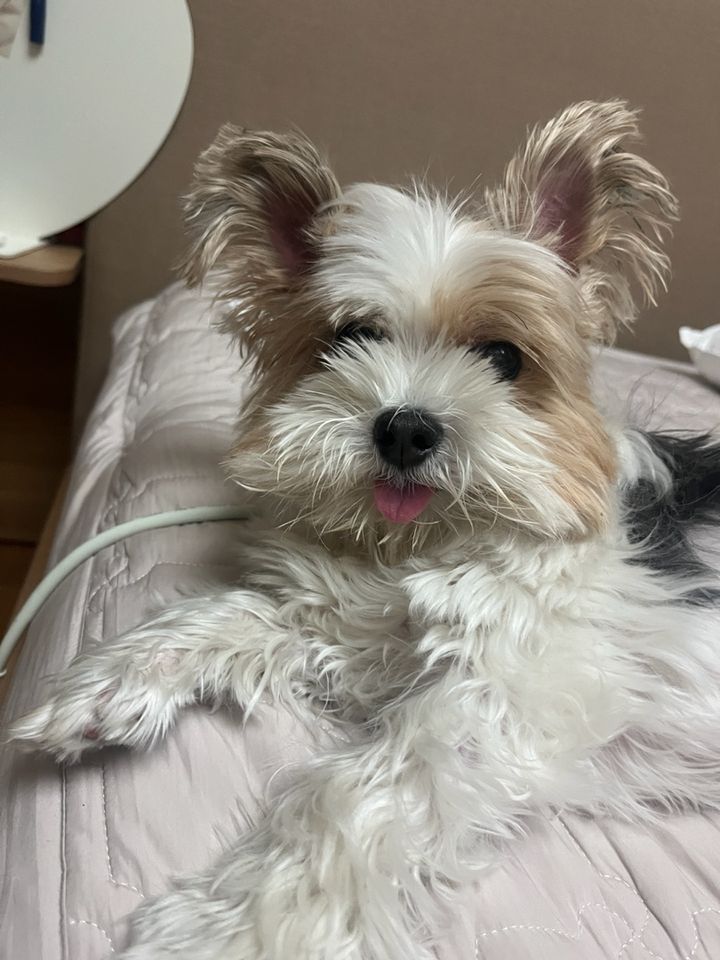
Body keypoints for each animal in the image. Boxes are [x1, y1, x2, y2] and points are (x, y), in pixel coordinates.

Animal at [9, 101, 720, 960]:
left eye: (503, 357)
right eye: (349, 337)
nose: (406, 427)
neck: (420, 545)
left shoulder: (502, 695)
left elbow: (353, 796)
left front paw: (226, 931)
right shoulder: (356, 625)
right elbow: (238, 613)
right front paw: (110, 683)